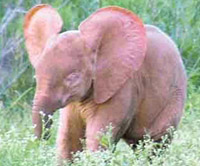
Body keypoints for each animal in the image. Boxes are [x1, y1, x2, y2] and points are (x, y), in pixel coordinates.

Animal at [24, 4, 187, 161]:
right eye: (36, 77)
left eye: (73, 77)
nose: (44, 138)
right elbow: (69, 139)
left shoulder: (123, 87)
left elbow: (99, 137)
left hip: (173, 99)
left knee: (153, 146)